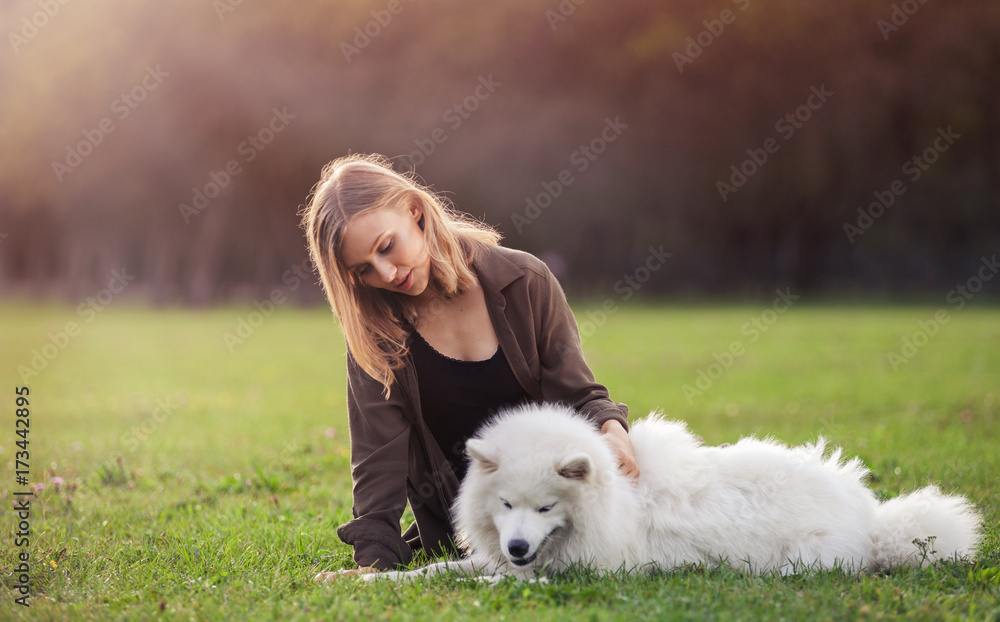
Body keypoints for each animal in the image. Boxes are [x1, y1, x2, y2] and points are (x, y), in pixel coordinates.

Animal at [366, 402, 976, 584]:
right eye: (506, 505)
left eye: (546, 507)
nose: (516, 547)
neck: (612, 504)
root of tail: (872, 517)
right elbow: (436, 571)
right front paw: (368, 578)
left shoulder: (580, 571)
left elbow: (488, 582)